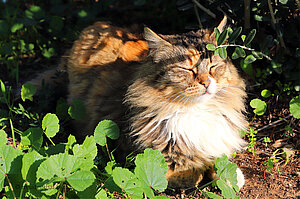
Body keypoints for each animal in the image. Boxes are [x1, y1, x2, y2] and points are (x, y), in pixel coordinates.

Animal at [32, 16, 248, 189]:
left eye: (212, 66)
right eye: (187, 70)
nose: (206, 83)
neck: (195, 110)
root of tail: (98, 25)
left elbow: (219, 161)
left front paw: (230, 176)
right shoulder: (143, 154)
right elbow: (189, 168)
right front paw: (205, 174)